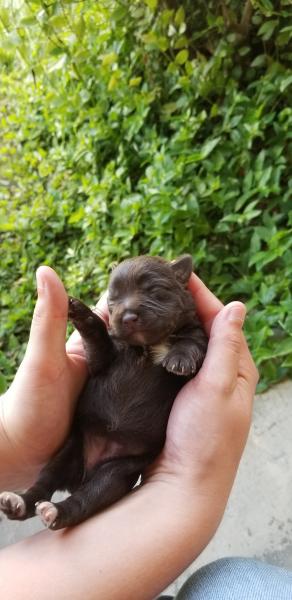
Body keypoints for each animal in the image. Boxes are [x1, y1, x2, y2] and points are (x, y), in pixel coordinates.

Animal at [0, 253, 208, 528]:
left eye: (154, 290)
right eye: (113, 300)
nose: (128, 316)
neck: (147, 345)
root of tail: (83, 475)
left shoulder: (198, 336)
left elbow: (191, 341)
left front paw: (179, 358)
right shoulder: (102, 360)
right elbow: (99, 338)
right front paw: (81, 312)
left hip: (117, 474)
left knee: (87, 499)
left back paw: (55, 511)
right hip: (69, 451)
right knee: (44, 483)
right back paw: (20, 502)